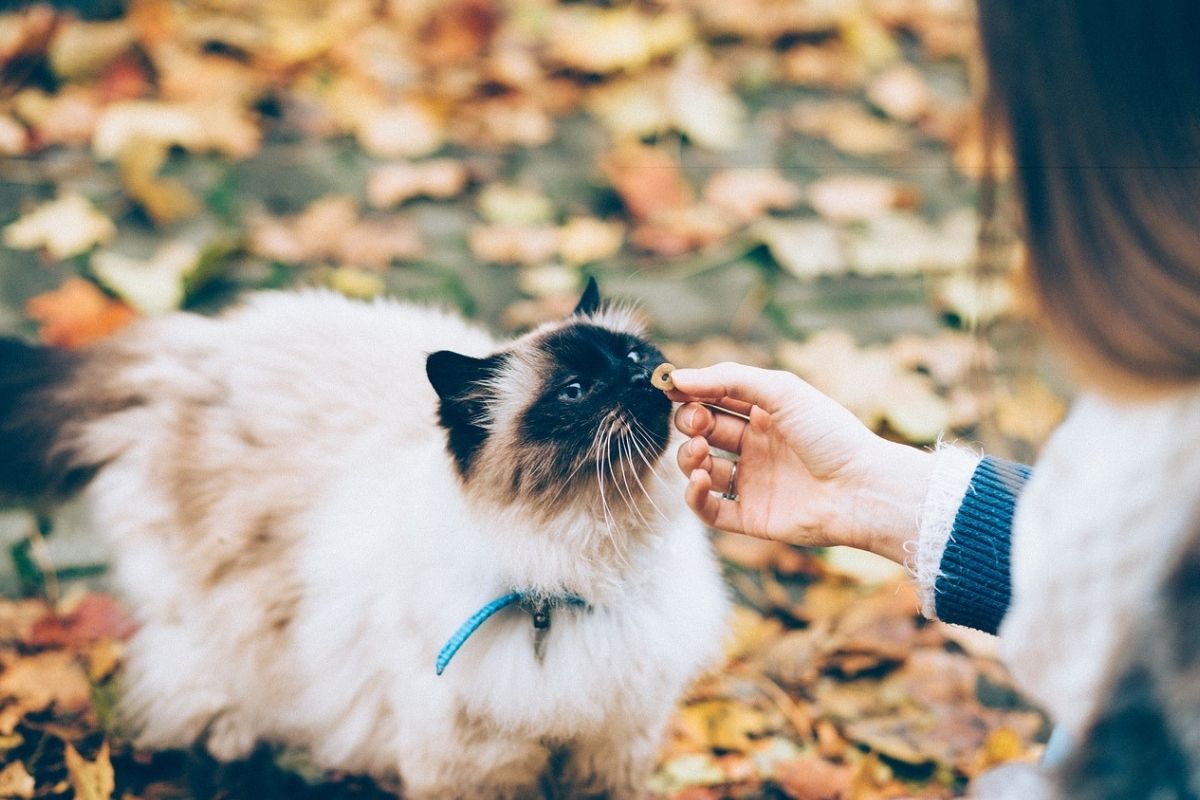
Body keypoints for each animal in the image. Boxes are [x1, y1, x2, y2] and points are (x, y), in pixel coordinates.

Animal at [0, 278, 729, 796]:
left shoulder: (612, 747)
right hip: (218, 614)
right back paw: (235, 740)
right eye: (576, 391)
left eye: (633, 355)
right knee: (192, 675)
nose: (640, 377)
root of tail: (195, 346)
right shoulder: (477, 767)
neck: (581, 577)